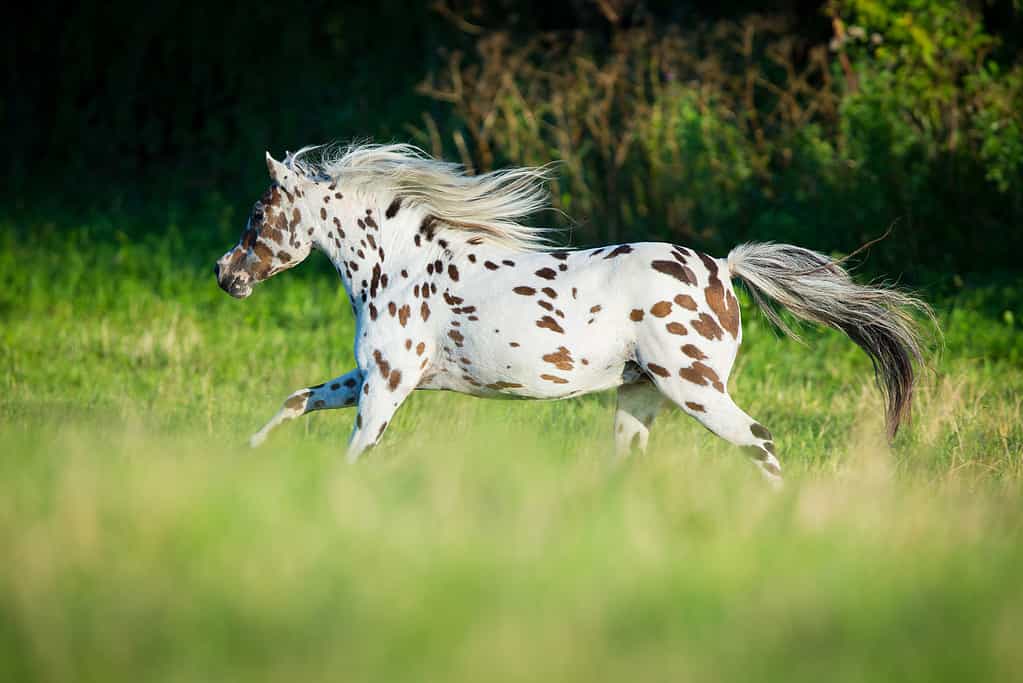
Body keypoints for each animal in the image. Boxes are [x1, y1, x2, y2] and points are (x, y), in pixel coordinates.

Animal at [214, 143, 930, 483]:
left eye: (259, 212)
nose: (227, 274)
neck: (402, 266)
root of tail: (725, 271)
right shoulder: (368, 378)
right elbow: (296, 400)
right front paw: (241, 459)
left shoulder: (387, 388)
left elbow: (356, 453)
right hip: (640, 398)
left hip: (696, 390)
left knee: (761, 443)